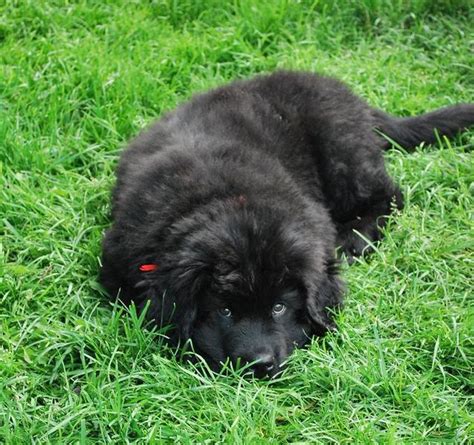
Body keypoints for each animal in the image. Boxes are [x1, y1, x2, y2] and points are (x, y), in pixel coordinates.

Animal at [101, 71, 474, 376]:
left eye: (279, 307)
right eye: (224, 311)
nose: (258, 364)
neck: (231, 200)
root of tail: (355, 101)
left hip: (342, 150)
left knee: (389, 195)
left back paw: (355, 239)